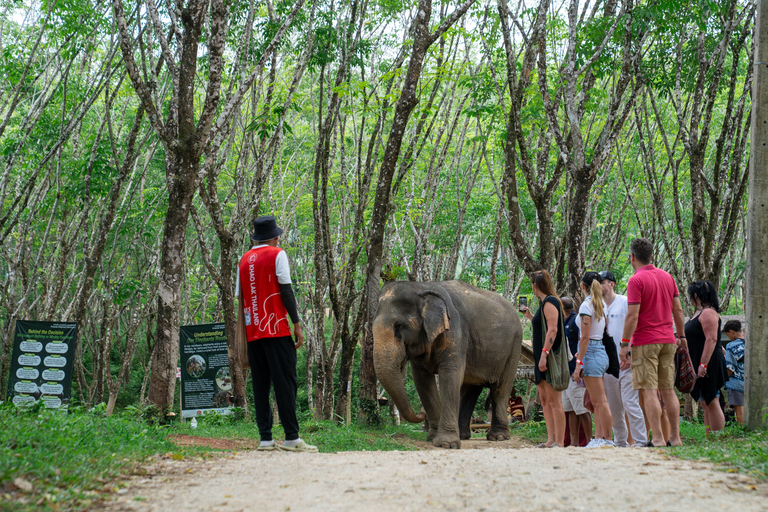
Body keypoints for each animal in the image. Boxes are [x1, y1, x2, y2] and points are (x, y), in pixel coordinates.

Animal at [373, 280, 523, 449]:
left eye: (399, 326)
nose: (421, 414)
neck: (422, 287)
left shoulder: (455, 330)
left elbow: (450, 375)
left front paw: (446, 444)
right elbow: (422, 381)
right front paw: (433, 438)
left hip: (514, 348)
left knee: (500, 389)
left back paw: (498, 437)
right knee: (470, 390)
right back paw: (463, 436)